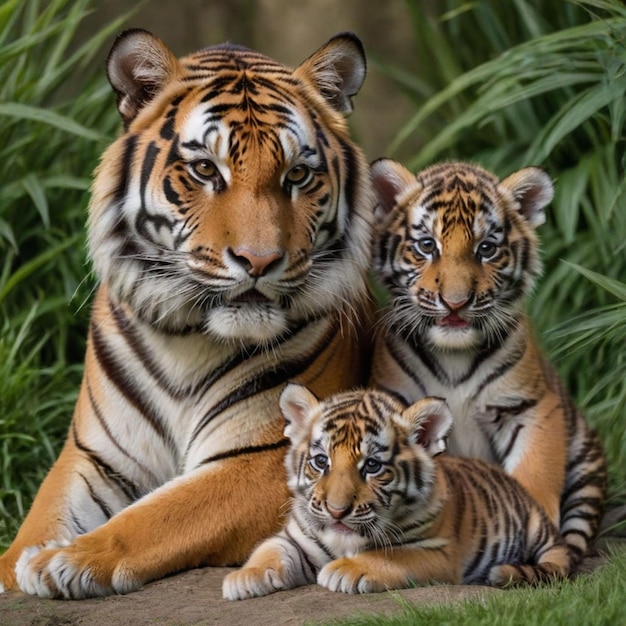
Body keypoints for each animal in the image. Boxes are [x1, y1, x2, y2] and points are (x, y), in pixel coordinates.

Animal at [0, 28, 376, 596]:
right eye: (204, 169)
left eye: (297, 175)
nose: (259, 260)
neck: (184, 339)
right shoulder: (93, 457)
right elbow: (36, 525)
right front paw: (21, 564)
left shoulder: (265, 459)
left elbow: (158, 516)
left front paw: (61, 559)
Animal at [222, 382, 572, 596]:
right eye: (321, 461)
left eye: (372, 466)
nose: (337, 511)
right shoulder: (297, 537)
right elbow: (270, 550)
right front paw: (243, 578)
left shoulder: (438, 552)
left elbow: (393, 556)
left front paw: (345, 570)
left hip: (538, 529)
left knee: (559, 558)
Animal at [366, 157, 604, 560]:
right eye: (427, 245)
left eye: (487, 248)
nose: (455, 302)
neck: (454, 355)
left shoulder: (530, 408)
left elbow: (534, 475)